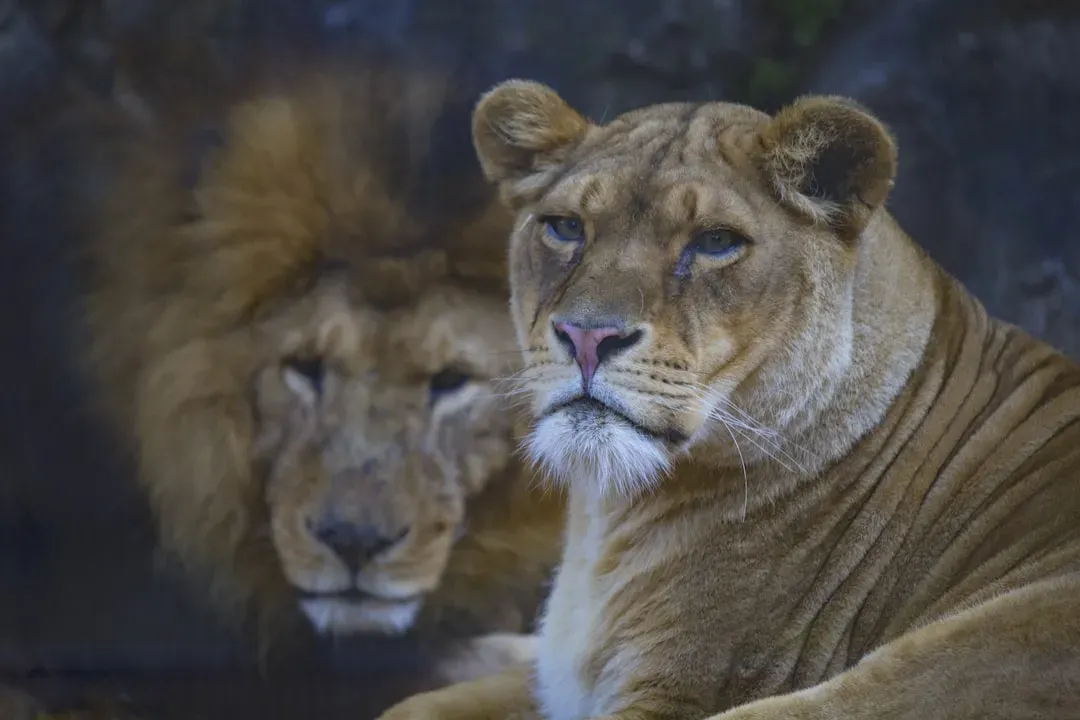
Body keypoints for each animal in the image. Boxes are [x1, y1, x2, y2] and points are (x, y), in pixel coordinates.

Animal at [375, 82, 1080, 720]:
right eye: (566, 228)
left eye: (715, 242)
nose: (587, 336)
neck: (607, 518)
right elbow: (414, 707)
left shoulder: (681, 691)